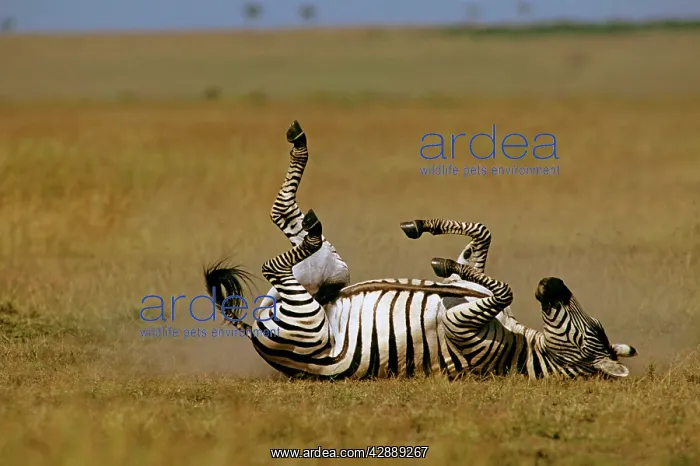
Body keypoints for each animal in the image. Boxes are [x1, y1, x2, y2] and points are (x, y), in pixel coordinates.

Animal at [204, 209, 637, 380]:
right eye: (592, 325)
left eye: (584, 334)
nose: (552, 283)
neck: (521, 347)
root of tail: (254, 332)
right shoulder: (472, 293)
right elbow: (482, 234)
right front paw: (428, 235)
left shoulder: (460, 325)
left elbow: (503, 287)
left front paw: (442, 262)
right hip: (323, 279)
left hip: (305, 318)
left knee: (274, 266)